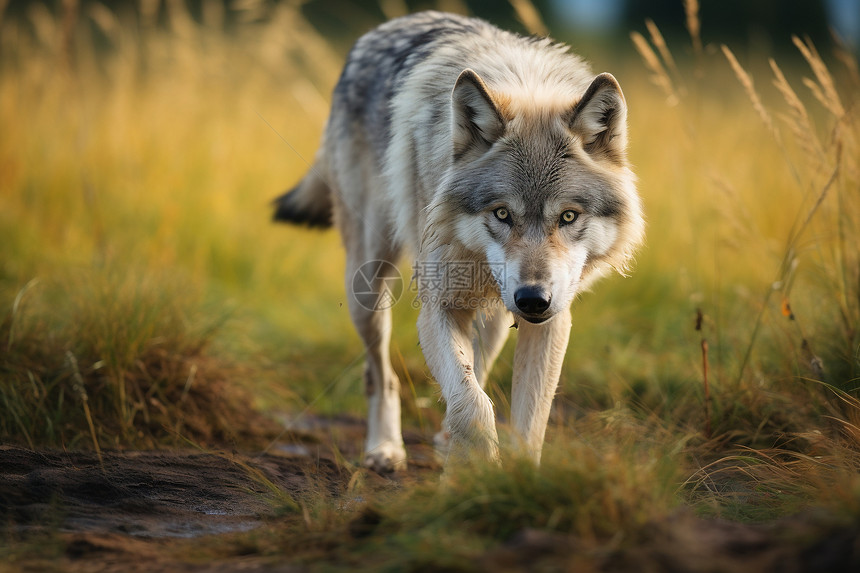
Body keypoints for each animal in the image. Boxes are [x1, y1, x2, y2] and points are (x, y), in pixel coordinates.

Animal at [272, 11, 640, 472]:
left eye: (568, 216)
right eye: (502, 213)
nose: (533, 299)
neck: (527, 84)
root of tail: (387, 27)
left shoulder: (553, 320)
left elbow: (525, 422)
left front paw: (514, 477)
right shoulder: (438, 307)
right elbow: (473, 406)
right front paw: (479, 467)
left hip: (495, 317)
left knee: (477, 366)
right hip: (368, 286)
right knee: (381, 374)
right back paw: (385, 448)